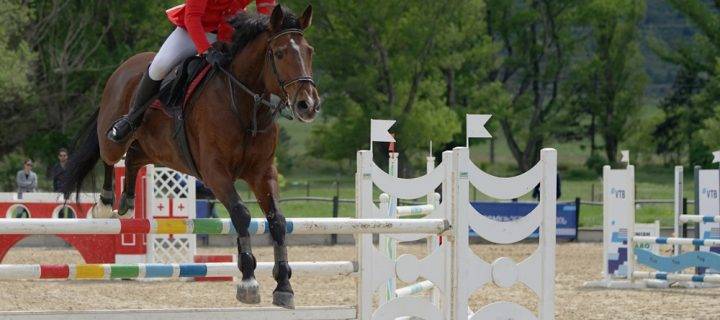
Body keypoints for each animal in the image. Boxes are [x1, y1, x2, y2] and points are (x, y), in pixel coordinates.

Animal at [60, 5, 320, 310]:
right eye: (279, 53)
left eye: (309, 51)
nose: (308, 105)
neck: (245, 105)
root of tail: (124, 67)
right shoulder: (215, 173)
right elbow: (241, 215)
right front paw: (248, 281)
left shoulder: (262, 173)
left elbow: (277, 220)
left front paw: (284, 286)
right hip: (115, 135)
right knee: (110, 155)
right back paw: (104, 203)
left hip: (155, 149)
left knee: (134, 158)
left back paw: (128, 201)